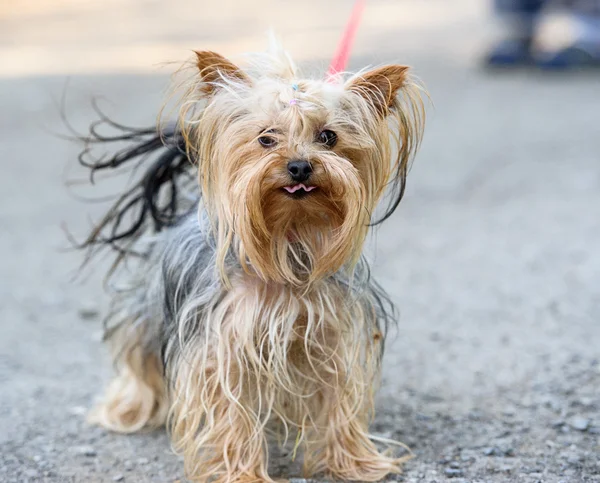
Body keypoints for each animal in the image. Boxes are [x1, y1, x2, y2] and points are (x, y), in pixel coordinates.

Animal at [78, 42, 426, 483]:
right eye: (266, 138)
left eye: (328, 137)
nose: (299, 165)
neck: (289, 243)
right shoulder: (223, 343)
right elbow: (231, 410)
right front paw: (242, 472)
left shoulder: (333, 335)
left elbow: (339, 398)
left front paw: (354, 462)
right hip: (146, 311)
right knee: (138, 362)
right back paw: (126, 411)